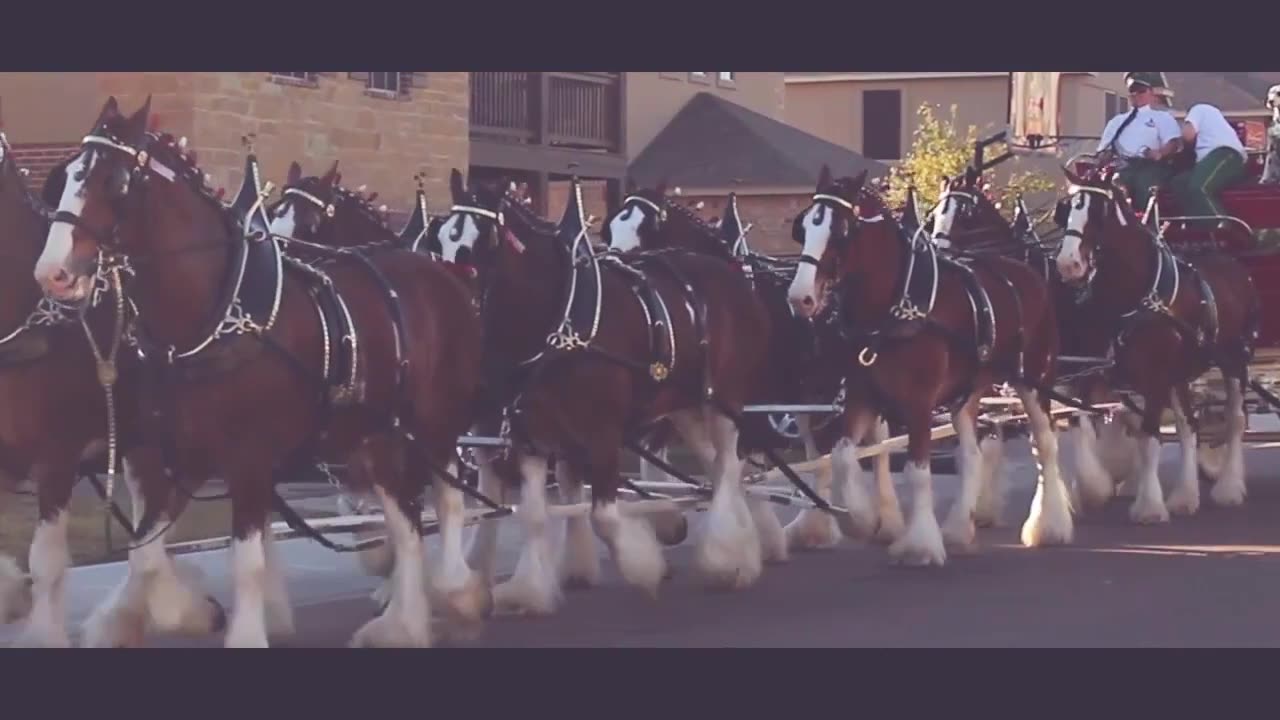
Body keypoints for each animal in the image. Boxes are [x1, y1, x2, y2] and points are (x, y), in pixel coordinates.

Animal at [31, 96, 488, 645]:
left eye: (114, 181)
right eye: (65, 176)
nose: (53, 273)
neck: (218, 312)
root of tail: (445, 276)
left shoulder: (249, 458)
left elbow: (246, 562)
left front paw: (247, 628)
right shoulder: (184, 457)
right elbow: (145, 553)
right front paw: (183, 613)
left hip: (436, 423)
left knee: (450, 499)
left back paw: (455, 591)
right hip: (377, 435)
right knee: (407, 521)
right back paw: (402, 621)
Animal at [437, 167, 778, 609]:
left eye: (482, 240)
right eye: (443, 237)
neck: (561, 318)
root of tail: (732, 278)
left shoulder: (602, 432)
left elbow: (603, 516)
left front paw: (645, 565)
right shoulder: (532, 431)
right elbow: (534, 514)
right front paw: (528, 590)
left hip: (724, 399)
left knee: (728, 466)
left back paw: (724, 558)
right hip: (687, 405)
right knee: (719, 465)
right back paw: (742, 549)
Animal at [604, 181, 906, 545]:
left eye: (647, 228)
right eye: (610, 228)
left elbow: (740, 463)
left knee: (877, 441)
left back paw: (883, 519)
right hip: (805, 390)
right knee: (815, 448)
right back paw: (814, 525)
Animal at [788, 162, 1070, 561]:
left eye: (840, 231)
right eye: (804, 227)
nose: (800, 297)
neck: (896, 306)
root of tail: (1027, 271)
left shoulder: (919, 401)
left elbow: (918, 471)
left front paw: (919, 545)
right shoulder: (862, 393)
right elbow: (842, 455)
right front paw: (861, 519)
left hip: (1034, 377)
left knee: (1044, 443)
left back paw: (1049, 526)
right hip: (968, 390)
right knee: (970, 453)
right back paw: (957, 529)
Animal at [1049, 165, 1259, 517]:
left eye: (1098, 211)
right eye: (1065, 209)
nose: (1068, 264)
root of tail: (1233, 265)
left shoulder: (1155, 377)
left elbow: (1148, 436)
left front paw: (1148, 505)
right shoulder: (1095, 370)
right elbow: (1083, 420)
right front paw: (1093, 489)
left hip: (1234, 360)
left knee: (1233, 421)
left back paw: (1228, 487)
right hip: (1181, 371)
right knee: (1190, 425)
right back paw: (1185, 496)